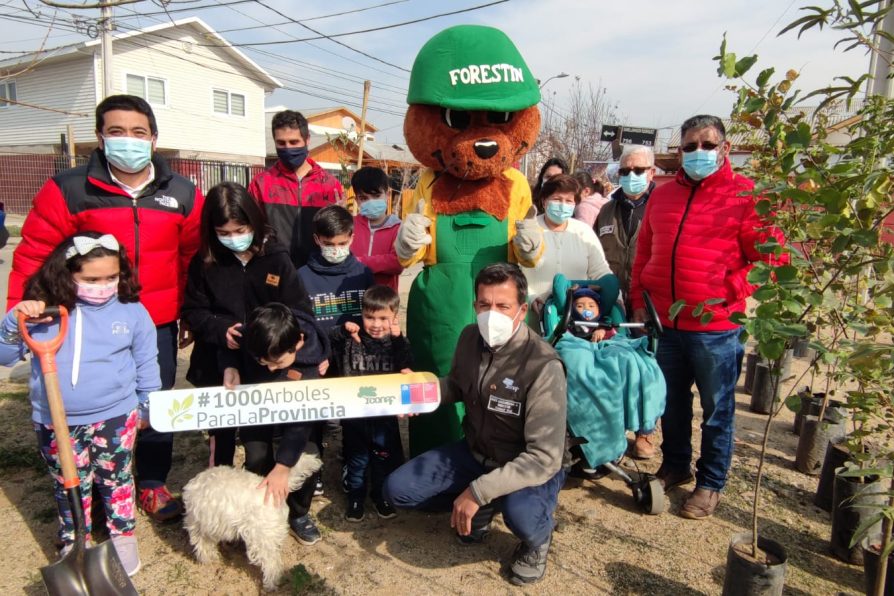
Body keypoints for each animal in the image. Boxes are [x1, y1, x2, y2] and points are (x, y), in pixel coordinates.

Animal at [182, 444, 322, 588]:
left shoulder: (198, 525)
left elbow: (202, 545)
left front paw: (207, 559)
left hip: (262, 537)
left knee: (272, 564)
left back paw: (270, 584)